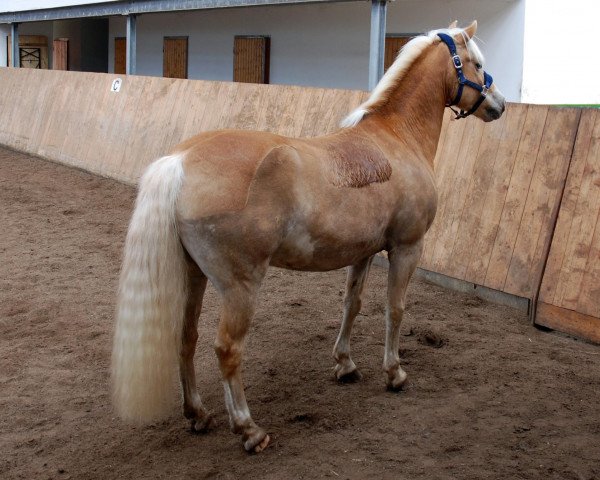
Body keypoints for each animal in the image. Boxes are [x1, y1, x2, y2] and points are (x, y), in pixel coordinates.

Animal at [111, 19, 506, 454]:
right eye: (477, 63)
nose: (499, 104)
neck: (396, 139)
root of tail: (179, 161)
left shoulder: (363, 252)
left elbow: (352, 304)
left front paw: (345, 364)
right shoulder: (406, 248)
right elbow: (395, 308)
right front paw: (395, 373)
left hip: (193, 276)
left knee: (186, 338)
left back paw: (198, 414)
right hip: (240, 287)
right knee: (227, 350)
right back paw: (249, 429)